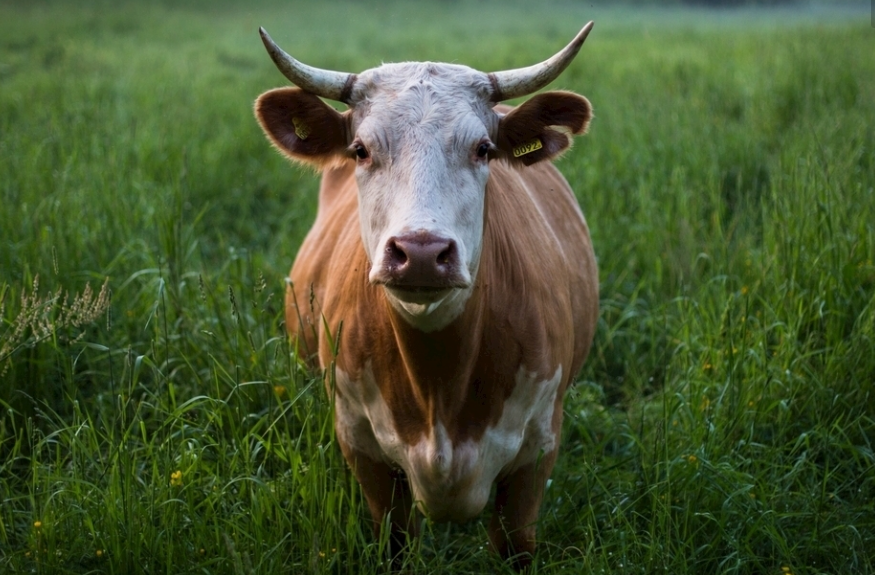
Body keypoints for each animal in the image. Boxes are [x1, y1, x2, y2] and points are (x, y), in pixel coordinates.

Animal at [253, 23, 604, 572]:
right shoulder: (363, 449)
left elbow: (515, 545)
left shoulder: (537, 453)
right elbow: (395, 540)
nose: (420, 252)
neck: (440, 384)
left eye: (483, 148)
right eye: (360, 149)